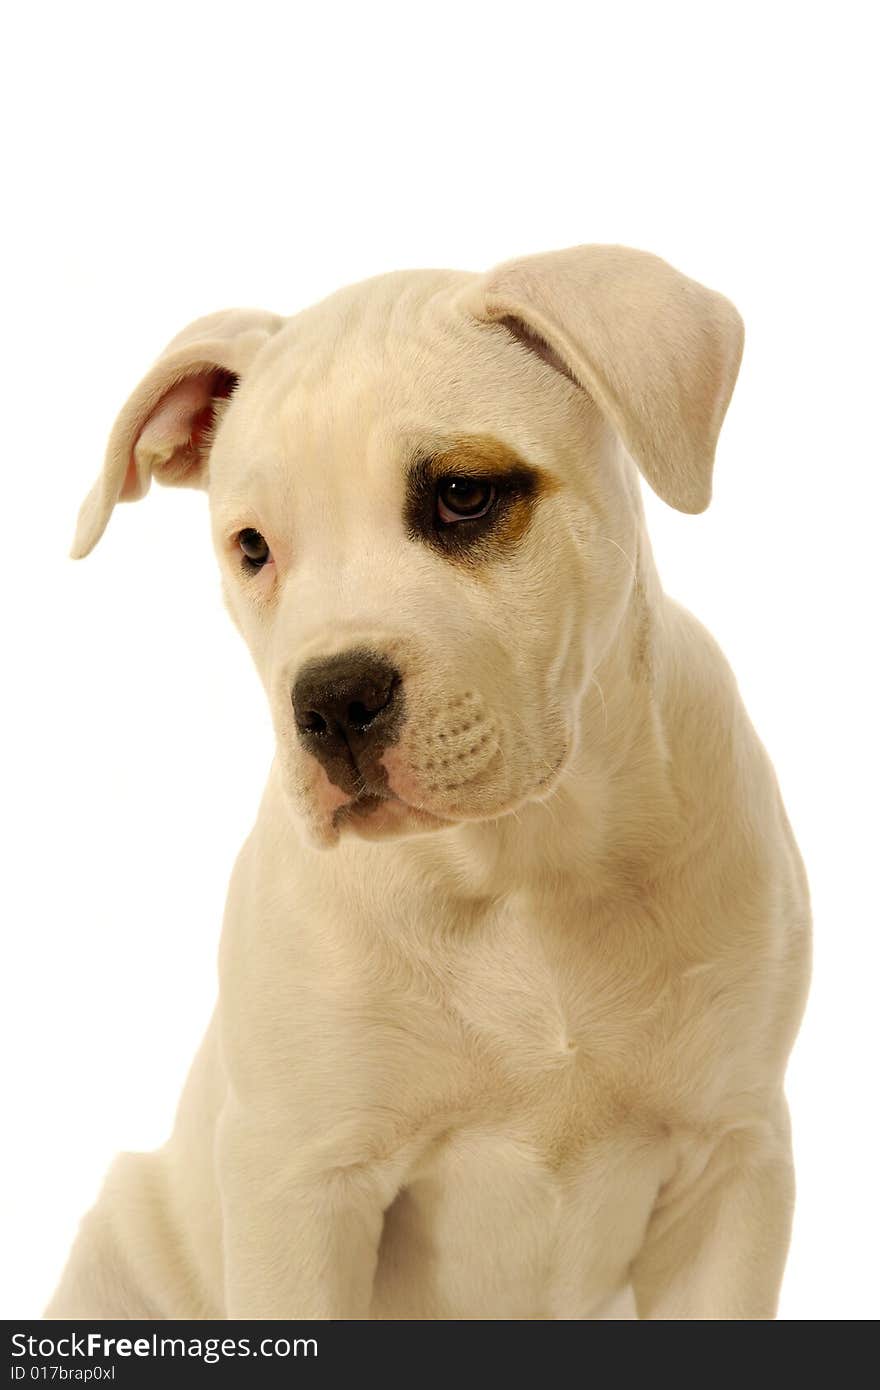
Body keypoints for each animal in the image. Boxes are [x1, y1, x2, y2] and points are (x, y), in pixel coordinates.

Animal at [47, 244, 811, 1317]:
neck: (522, 866)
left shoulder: (733, 1164)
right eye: (253, 548)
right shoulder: (299, 1186)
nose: (331, 701)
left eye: (462, 495)